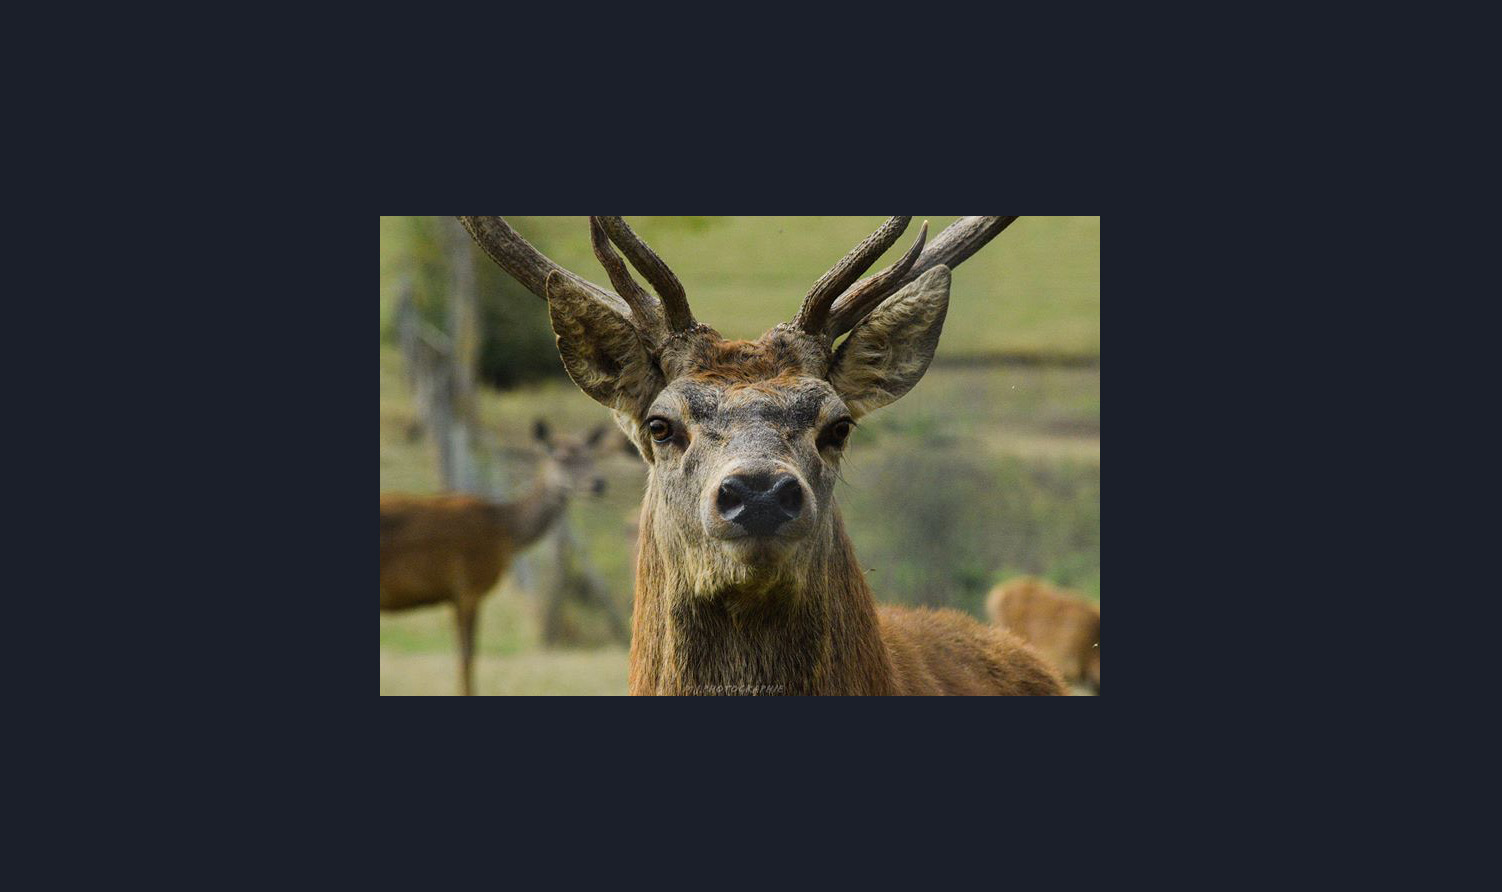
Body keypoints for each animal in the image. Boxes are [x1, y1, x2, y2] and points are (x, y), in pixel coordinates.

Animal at [380, 420, 612, 695]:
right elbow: (467, 657)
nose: (598, 483)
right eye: (561, 457)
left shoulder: (456, 594)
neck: (506, 531)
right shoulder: (469, 587)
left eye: (592, 455)